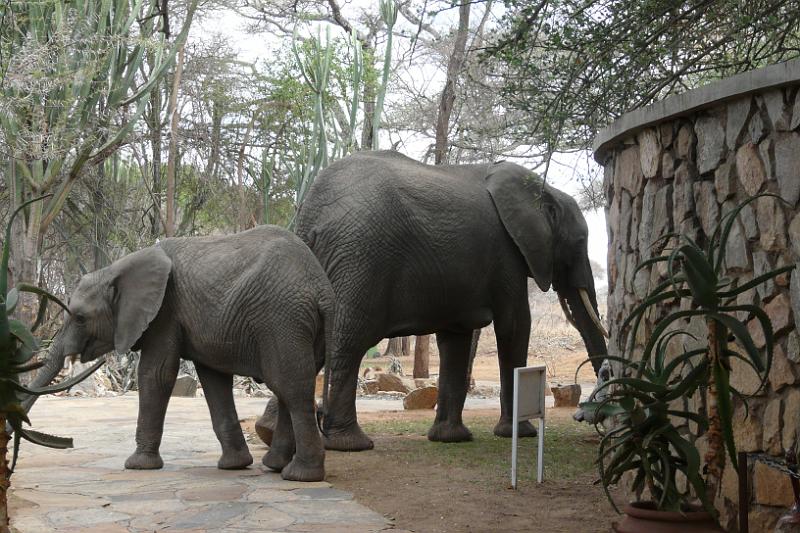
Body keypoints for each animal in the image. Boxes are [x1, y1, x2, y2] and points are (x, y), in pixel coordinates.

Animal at [23, 226, 334, 482]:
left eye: (79, 318)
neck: (117, 267)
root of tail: (321, 289)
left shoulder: (165, 311)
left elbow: (156, 375)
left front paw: (137, 466)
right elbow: (214, 380)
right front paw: (234, 465)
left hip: (281, 318)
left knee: (290, 388)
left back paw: (299, 476)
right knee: (287, 388)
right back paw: (274, 465)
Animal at [294, 150, 608, 451]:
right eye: (580, 242)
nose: (585, 416)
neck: (544, 189)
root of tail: (311, 218)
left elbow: (456, 338)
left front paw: (450, 438)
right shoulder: (506, 255)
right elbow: (515, 326)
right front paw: (520, 433)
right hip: (361, 260)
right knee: (349, 342)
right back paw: (351, 445)